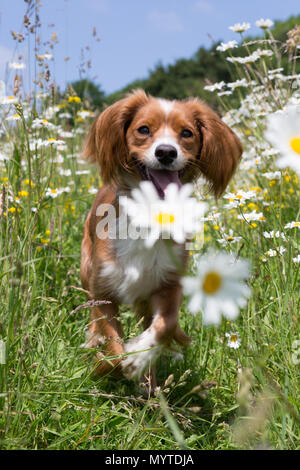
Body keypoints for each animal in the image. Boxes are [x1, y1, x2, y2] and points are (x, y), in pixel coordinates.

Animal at [79, 90, 241, 388]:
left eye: (187, 133)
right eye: (144, 129)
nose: (166, 152)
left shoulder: (168, 284)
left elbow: (166, 325)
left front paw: (139, 358)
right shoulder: (103, 291)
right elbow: (112, 344)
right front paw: (108, 364)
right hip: (86, 272)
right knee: (94, 322)